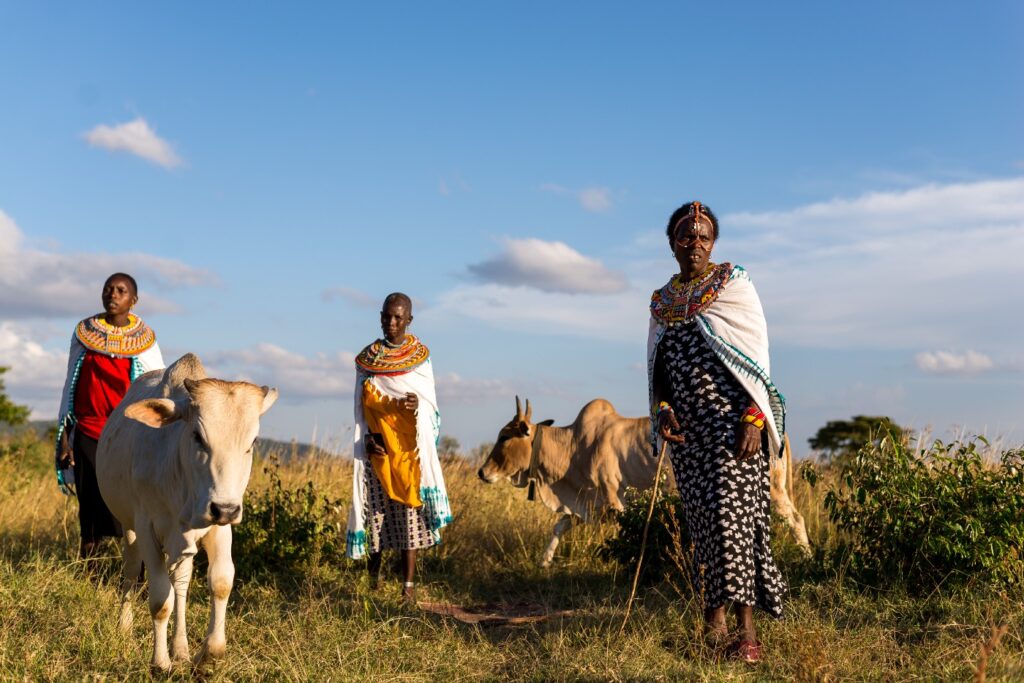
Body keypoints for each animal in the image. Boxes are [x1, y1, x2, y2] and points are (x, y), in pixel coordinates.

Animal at [96, 356, 278, 675]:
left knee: (180, 585)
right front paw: (160, 663)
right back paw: (124, 628)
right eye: (197, 436)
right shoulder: (146, 529)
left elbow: (220, 583)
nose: (225, 509)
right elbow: (160, 599)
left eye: (252, 442)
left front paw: (207, 654)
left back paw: (181, 649)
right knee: (130, 575)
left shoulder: (220, 528)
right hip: (129, 530)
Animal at [477, 395, 806, 565]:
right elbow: (560, 525)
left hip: (773, 490)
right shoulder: (588, 503)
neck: (574, 446)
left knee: (795, 519)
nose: (482, 472)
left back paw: (805, 555)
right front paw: (544, 561)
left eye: (505, 436)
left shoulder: (613, 499)